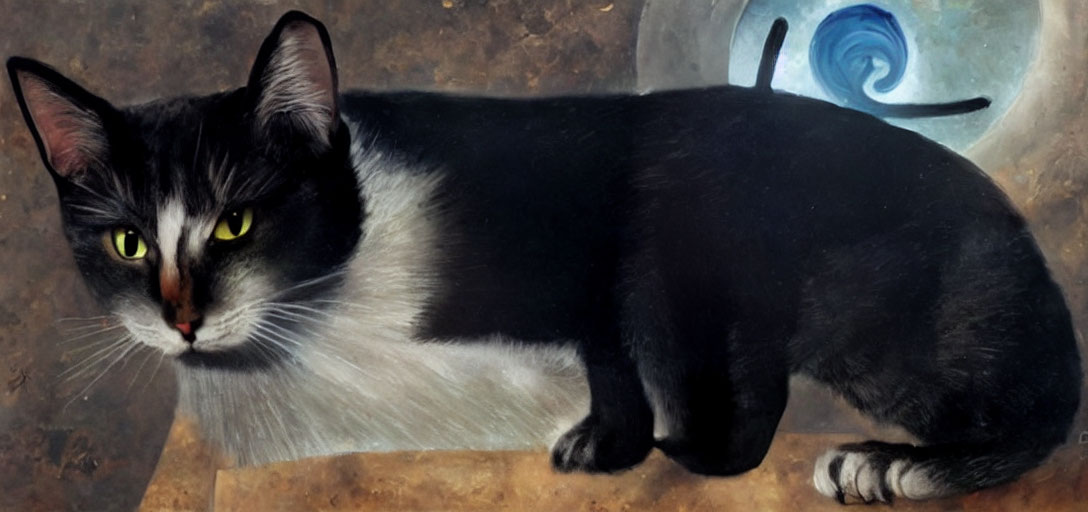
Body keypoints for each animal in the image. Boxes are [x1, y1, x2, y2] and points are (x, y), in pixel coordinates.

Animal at [6, 10, 1079, 506]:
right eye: (126, 240)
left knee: (1035, 415)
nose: (181, 319)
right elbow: (614, 373)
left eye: (235, 223)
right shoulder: (603, 312)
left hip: (899, 334)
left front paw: (697, 457)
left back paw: (900, 466)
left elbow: (711, 380)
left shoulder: (675, 260)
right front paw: (609, 448)